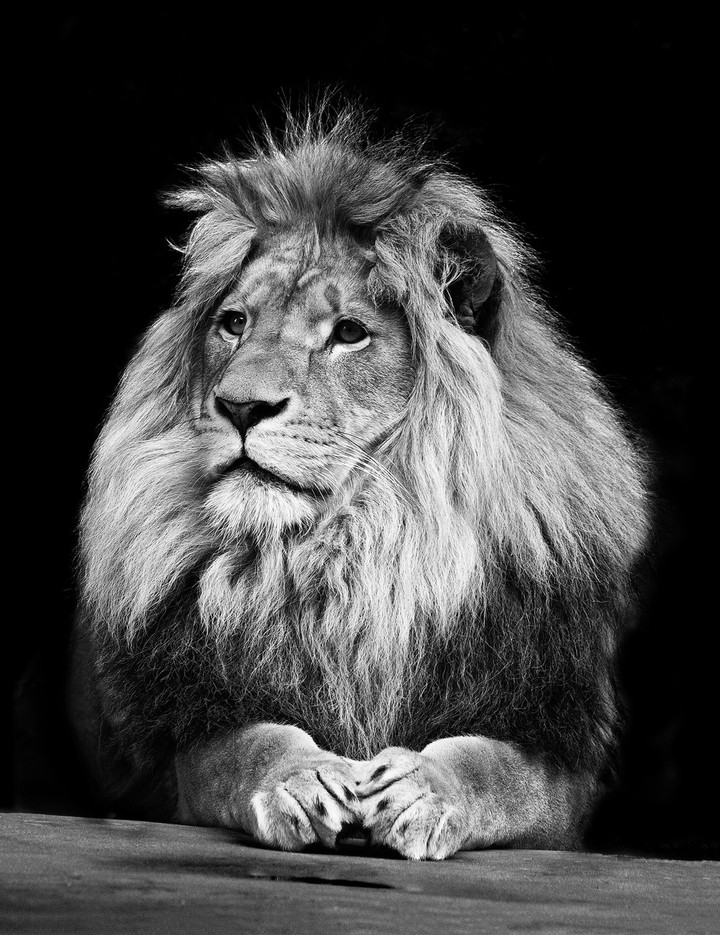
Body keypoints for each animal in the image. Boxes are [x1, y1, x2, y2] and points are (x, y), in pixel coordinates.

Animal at [68, 104, 650, 860]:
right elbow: (244, 747)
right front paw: (298, 778)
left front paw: (426, 788)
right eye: (234, 324)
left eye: (349, 333)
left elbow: (498, 769)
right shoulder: (185, 737)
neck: (358, 552)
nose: (240, 406)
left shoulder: (558, 753)